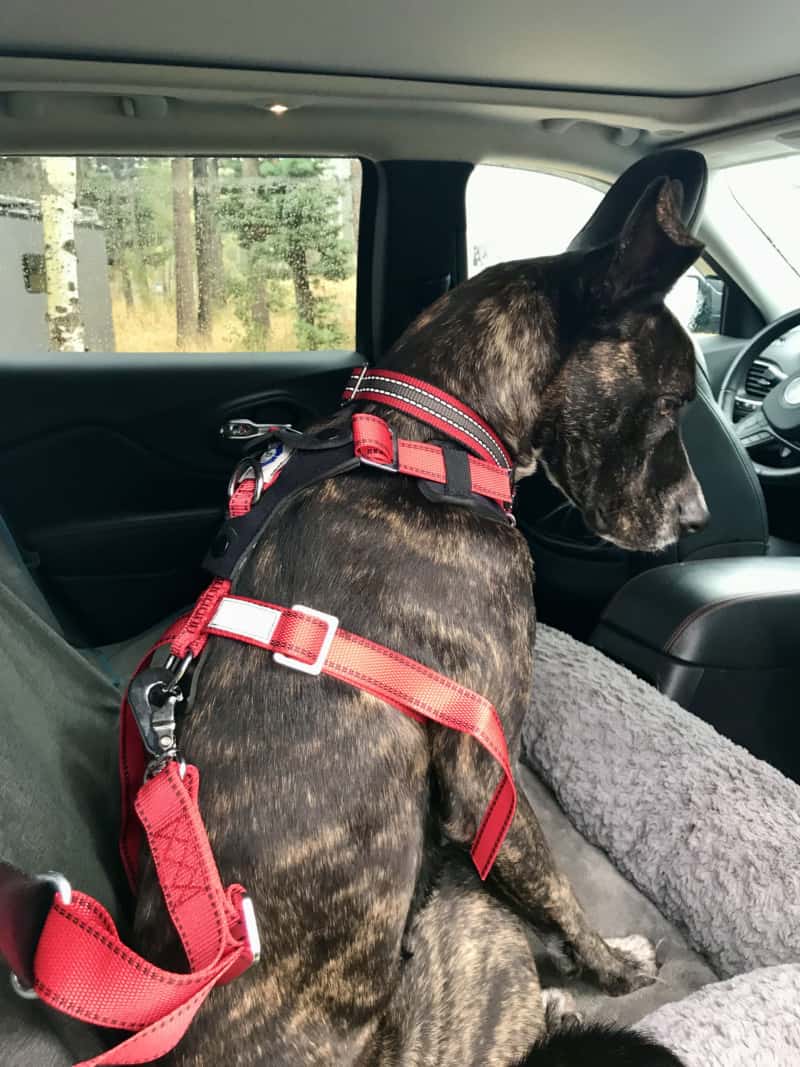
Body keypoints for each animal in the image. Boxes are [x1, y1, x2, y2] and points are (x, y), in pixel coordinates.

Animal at [136, 179, 708, 1062]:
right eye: (674, 399)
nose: (699, 519)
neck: (427, 443)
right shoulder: (485, 774)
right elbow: (559, 890)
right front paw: (614, 964)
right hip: (467, 920)